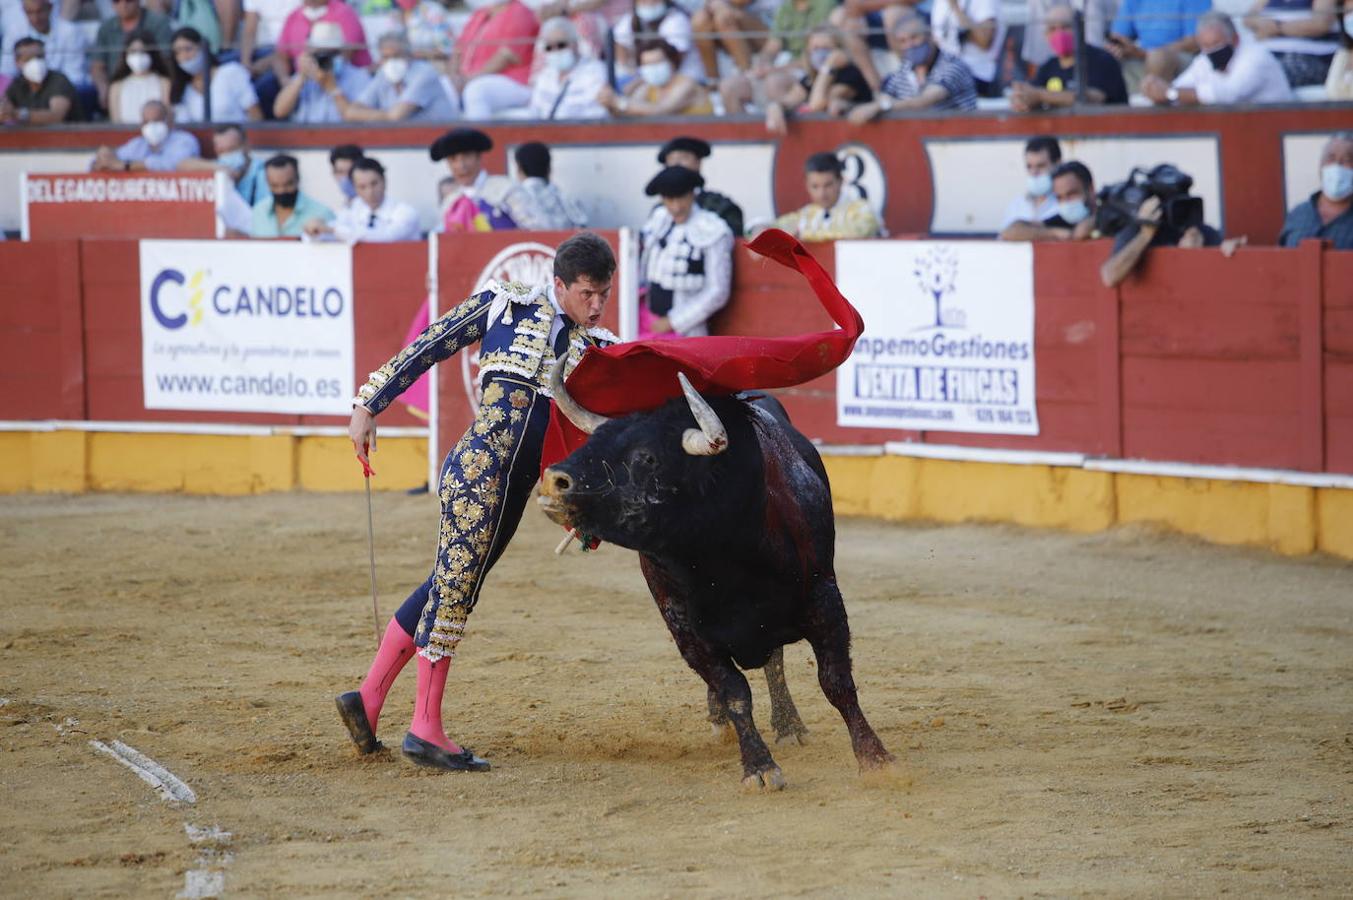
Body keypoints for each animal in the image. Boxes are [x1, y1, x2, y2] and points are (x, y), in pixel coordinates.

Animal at [533, 362, 892, 790]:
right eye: (593, 441)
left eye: (647, 457)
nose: (553, 480)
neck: (721, 554)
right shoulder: (685, 629)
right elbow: (734, 691)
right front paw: (759, 767)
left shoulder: (824, 598)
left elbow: (836, 681)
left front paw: (875, 759)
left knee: (776, 662)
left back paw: (789, 725)